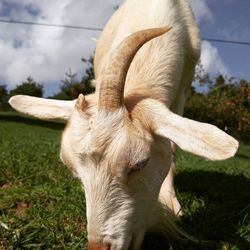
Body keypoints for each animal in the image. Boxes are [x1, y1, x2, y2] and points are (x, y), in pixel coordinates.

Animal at [9, 0, 238, 250]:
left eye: (140, 164)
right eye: (74, 170)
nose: (99, 247)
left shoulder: (183, 91)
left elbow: (172, 148)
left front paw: (173, 205)